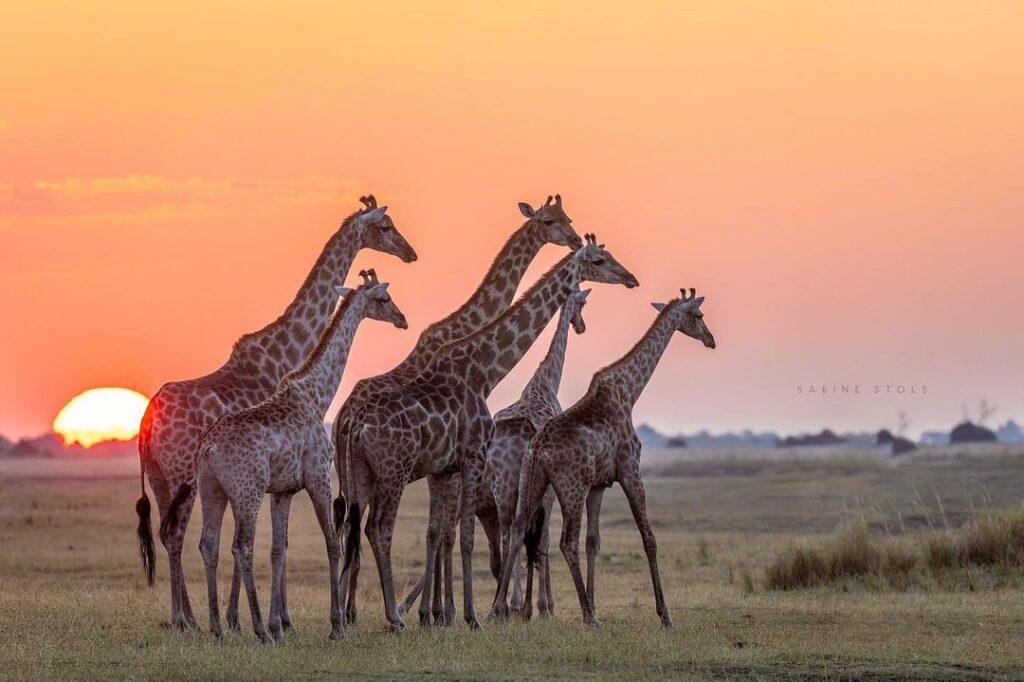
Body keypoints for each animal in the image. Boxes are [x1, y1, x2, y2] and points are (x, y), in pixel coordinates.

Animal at [192, 268, 407, 638]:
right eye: (384, 298)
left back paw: (219, 629)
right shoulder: (318, 477)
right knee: (242, 546)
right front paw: (336, 625)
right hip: (247, 492)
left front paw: (281, 625)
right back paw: (258, 630)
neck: (318, 394)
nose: (402, 320)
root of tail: (210, 449)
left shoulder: (283, 490)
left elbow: (279, 550)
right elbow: (333, 543)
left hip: (212, 489)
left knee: (210, 544)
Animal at [339, 233, 634, 626]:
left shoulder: (445, 469)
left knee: (350, 528)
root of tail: (353, 424)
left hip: (360, 472)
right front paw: (472, 616)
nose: (630, 278)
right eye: (599, 260)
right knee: (379, 528)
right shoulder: (473, 454)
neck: (484, 371)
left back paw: (342, 618)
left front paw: (442, 613)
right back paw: (394, 618)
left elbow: (442, 534)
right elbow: (466, 536)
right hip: (393, 471)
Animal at [491, 286, 716, 626]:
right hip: (569, 487)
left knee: (518, 530)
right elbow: (648, 538)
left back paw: (498, 609)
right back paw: (584, 616)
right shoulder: (630, 470)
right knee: (563, 541)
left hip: (531, 481)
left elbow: (593, 541)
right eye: (699, 315)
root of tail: (538, 448)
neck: (629, 392)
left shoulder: (599, 484)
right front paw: (665, 615)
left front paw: (596, 604)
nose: (710, 339)